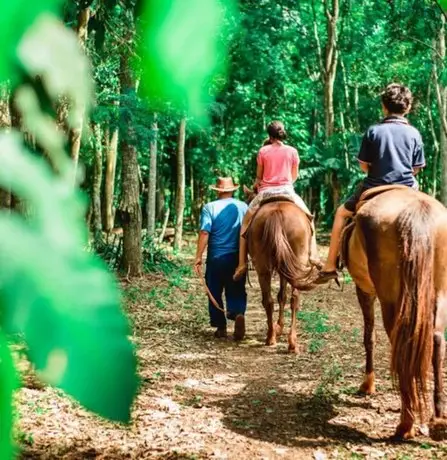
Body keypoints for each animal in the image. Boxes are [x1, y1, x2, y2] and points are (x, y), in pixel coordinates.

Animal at [247, 199, 320, 354]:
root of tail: (276, 213)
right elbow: (283, 296)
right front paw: (280, 327)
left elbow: (281, 296)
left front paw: (278, 327)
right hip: (296, 264)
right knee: (294, 299)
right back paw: (290, 341)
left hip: (264, 268)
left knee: (268, 301)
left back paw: (272, 337)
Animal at [346, 188, 447, 442]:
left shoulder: (364, 290)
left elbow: (369, 336)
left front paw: (368, 385)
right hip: (439, 289)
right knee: (437, 339)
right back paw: (439, 417)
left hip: (391, 299)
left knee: (400, 343)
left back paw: (405, 425)